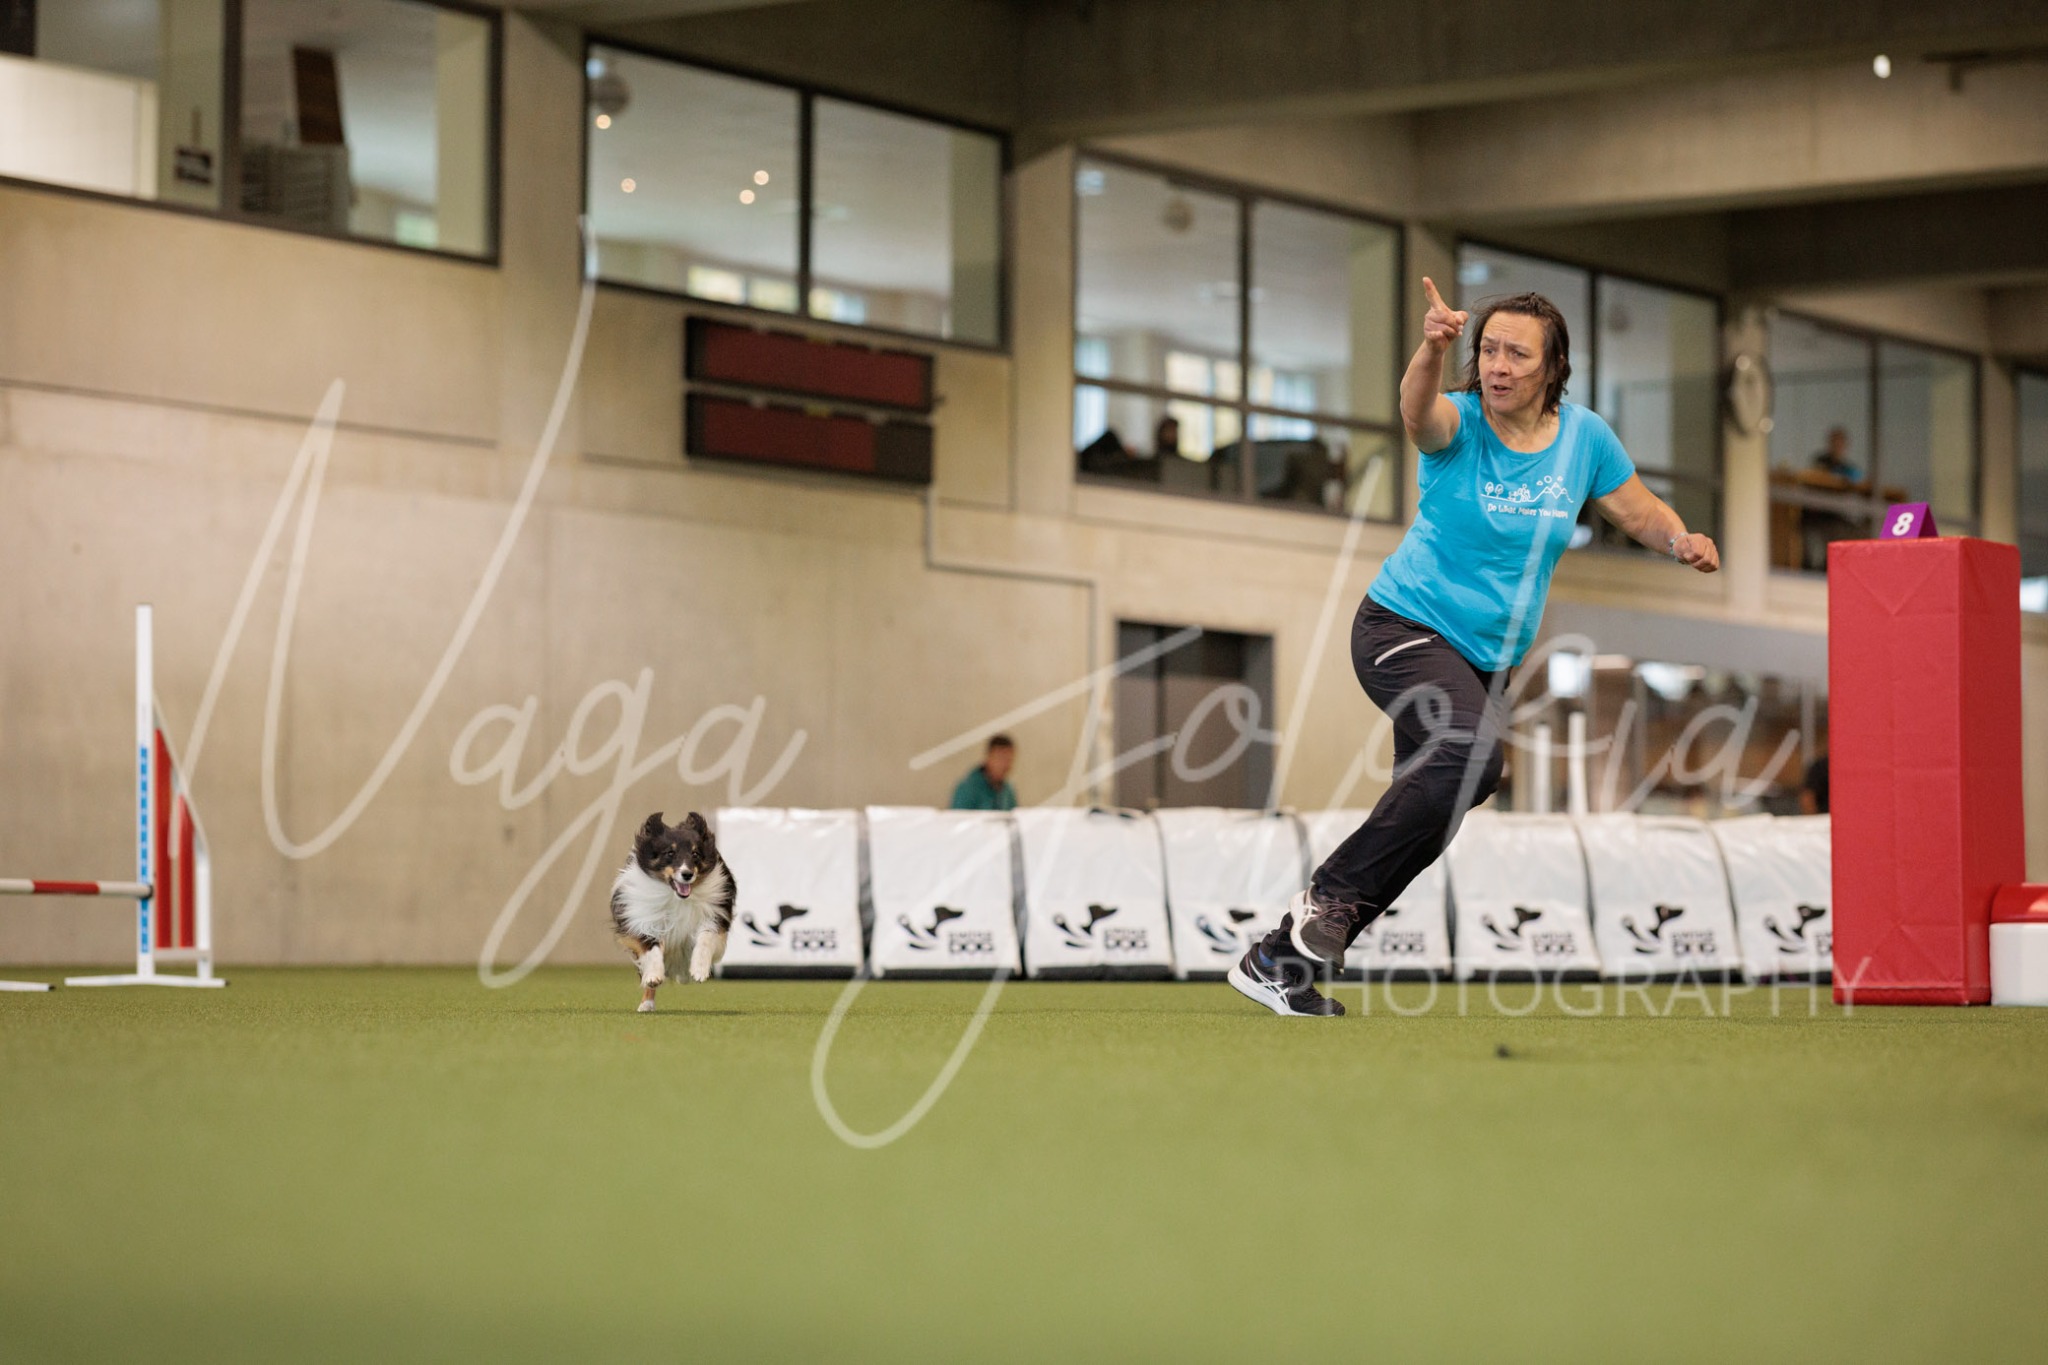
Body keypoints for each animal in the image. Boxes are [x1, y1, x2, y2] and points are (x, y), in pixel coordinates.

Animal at [610, 811, 736, 1012]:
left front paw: (699, 970)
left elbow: (705, 939)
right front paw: (654, 976)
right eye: (670, 853)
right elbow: (651, 948)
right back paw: (646, 1003)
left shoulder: (715, 916)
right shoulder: (640, 919)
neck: (676, 897)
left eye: (695, 854)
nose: (687, 874)